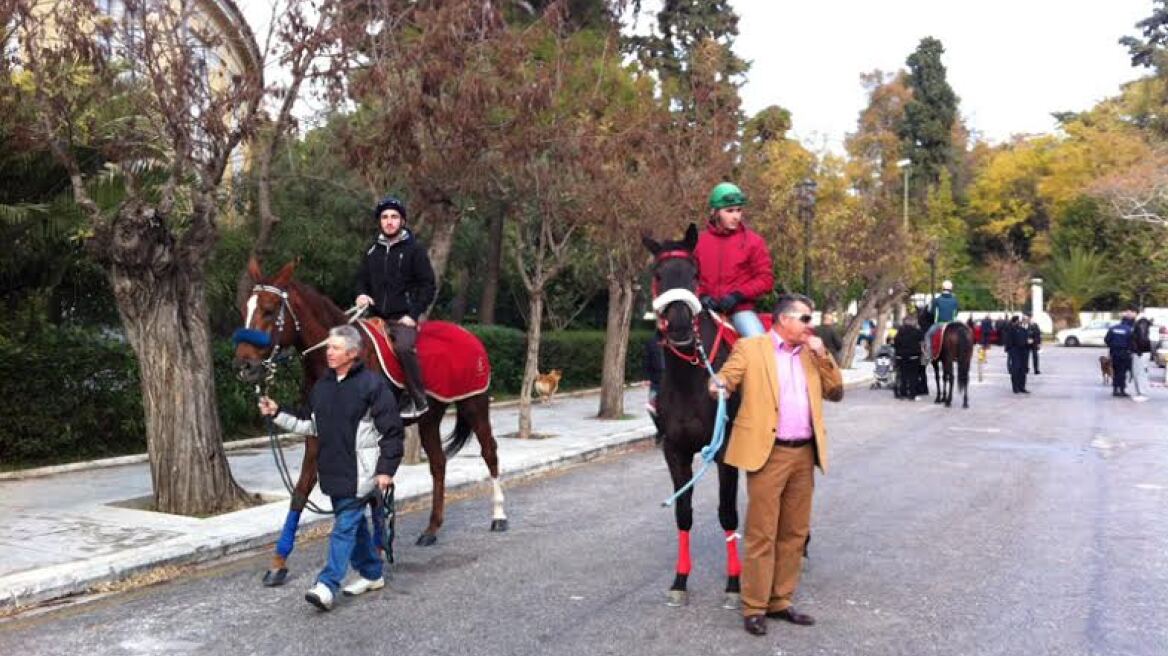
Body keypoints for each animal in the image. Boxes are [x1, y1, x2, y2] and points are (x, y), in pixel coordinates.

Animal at [234, 257, 509, 583]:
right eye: (244, 309)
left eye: (269, 309)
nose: (244, 366)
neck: (337, 364)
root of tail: (470, 335)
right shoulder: (317, 432)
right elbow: (300, 492)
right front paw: (278, 563)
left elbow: (373, 490)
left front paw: (375, 554)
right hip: (430, 416)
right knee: (438, 463)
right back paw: (431, 529)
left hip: (474, 402)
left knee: (489, 452)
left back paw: (499, 516)